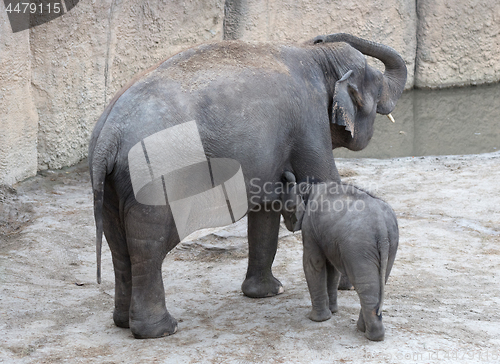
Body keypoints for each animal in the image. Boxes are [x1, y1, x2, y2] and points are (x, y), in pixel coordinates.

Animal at [282, 172, 398, 340]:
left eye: (286, 210)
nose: (288, 225)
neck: (308, 187)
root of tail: (381, 226)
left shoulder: (310, 227)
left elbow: (313, 264)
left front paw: (317, 319)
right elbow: (331, 269)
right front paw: (332, 311)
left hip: (358, 246)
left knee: (364, 285)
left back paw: (371, 336)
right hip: (390, 244)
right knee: (378, 283)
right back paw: (364, 329)